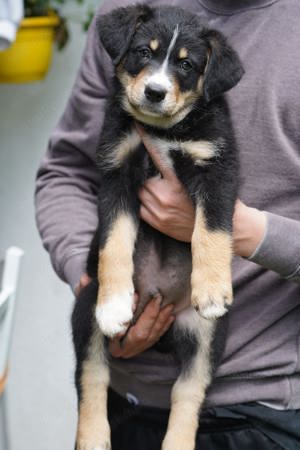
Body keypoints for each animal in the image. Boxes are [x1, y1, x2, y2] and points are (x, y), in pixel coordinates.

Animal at [72, 4, 244, 450]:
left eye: (186, 64)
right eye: (142, 52)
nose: (154, 92)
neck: (163, 131)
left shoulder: (217, 168)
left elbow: (211, 231)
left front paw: (212, 288)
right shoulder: (116, 171)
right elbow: (115, 242)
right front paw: (115, 304)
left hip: (207, 336)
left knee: (188, 391)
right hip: (83, 308)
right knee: (92, 374)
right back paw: (93, 434)